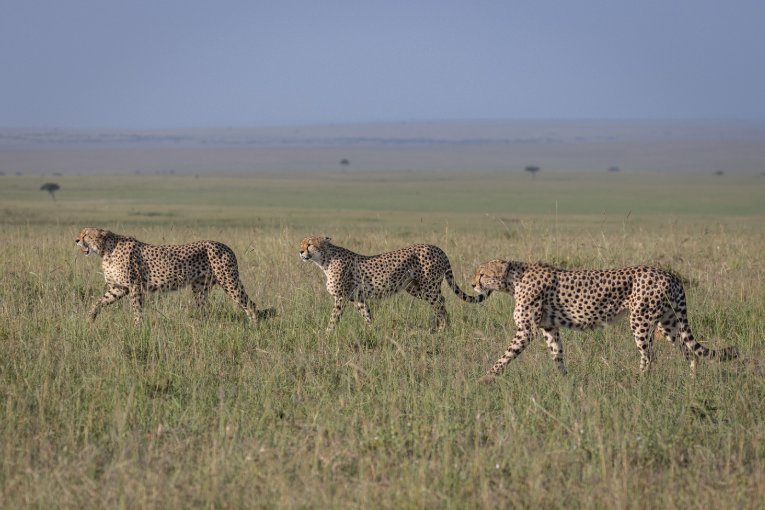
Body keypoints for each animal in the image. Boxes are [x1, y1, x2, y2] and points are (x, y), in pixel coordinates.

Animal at [76, 229, 274, 324]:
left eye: (86, 234)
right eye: (80, 233)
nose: (76, 240)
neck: (105, 250)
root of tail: (226, 246)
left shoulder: (134, 285)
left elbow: (136, 308)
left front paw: (137, 328)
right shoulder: (119, 287)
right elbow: (99, 301)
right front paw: (89, 318)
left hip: (229, 281)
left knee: (250, 304)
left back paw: (254, 328)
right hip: (200, 287)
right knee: (204, 309)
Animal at [296, 237, 486, 332]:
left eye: (309, 244)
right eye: (302, 243)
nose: (300, 251)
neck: (324, 260)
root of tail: (437, 247)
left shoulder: (341, 297)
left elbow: (334, 318)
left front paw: (327, 334)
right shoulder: (358, 298)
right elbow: (367, 315)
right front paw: (373, 331)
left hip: (429, 287)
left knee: (440, 304)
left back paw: (443, 329)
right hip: (415, 288)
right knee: (441, 302)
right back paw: (442, 327)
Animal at [468, 258, 736, 374]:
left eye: (482, 274)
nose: (472, 285)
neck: (513, 280)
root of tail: (669, 273)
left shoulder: (527, 330)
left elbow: (505, 356)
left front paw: (486, 378)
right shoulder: (549, 328)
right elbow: (557, 354)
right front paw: (564, 382)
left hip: (641, 321)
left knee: (649, 355)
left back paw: (639, 380)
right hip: (668, 323)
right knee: (689, 351)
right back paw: (692, 380)